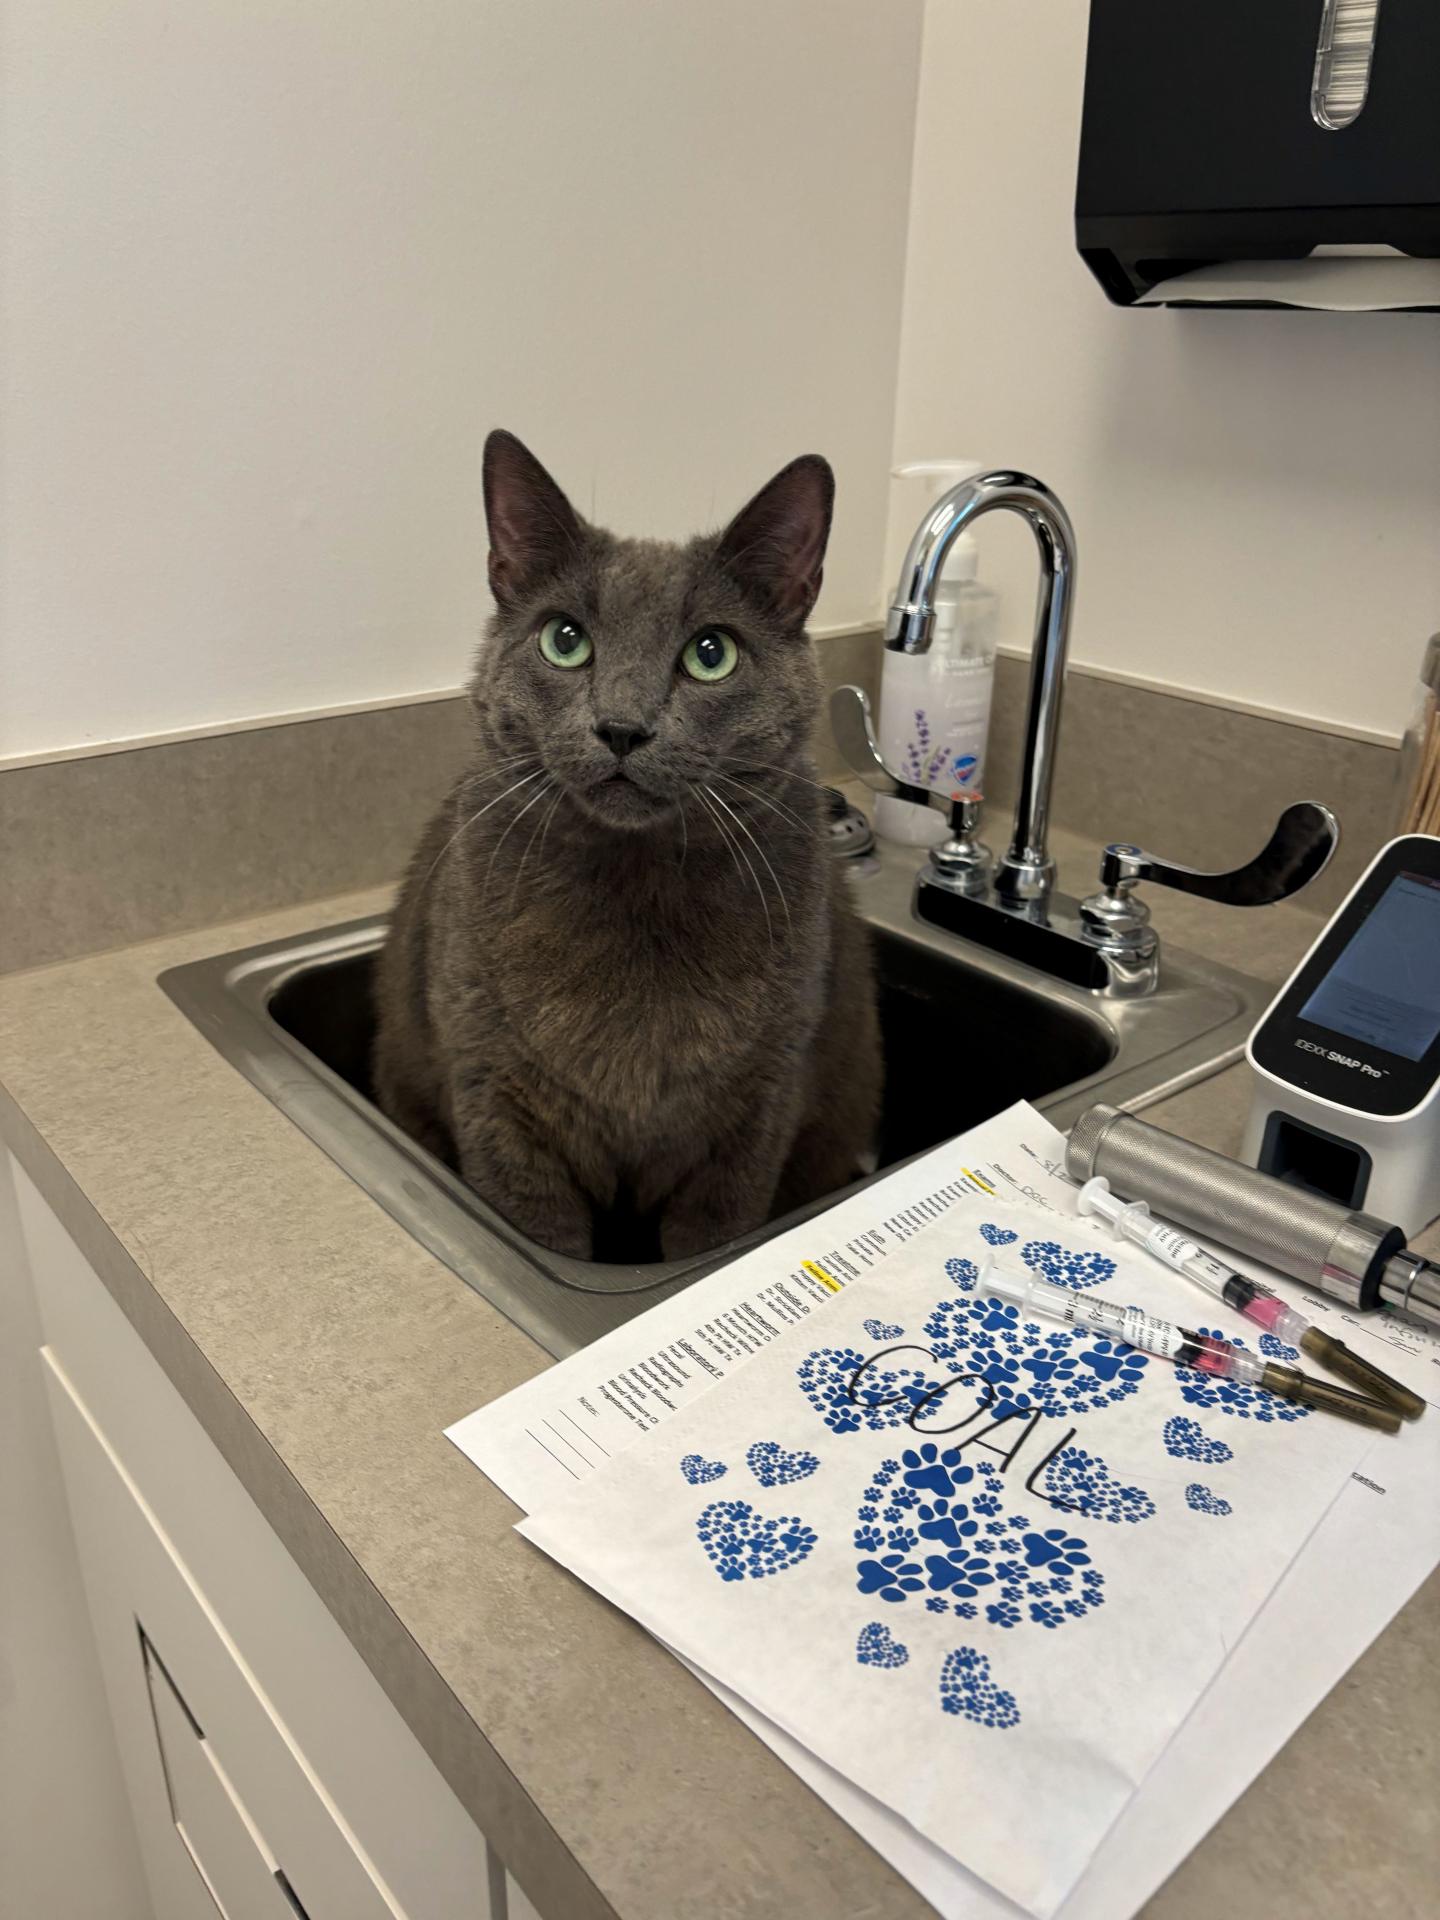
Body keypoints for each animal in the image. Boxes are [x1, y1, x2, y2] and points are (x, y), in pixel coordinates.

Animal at [372, 439, 879, 1274]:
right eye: (564, 639)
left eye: (711, 654)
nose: (621, 726)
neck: (636, 891)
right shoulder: (498, 1109)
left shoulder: (754, 1120)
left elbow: (715, 1232)